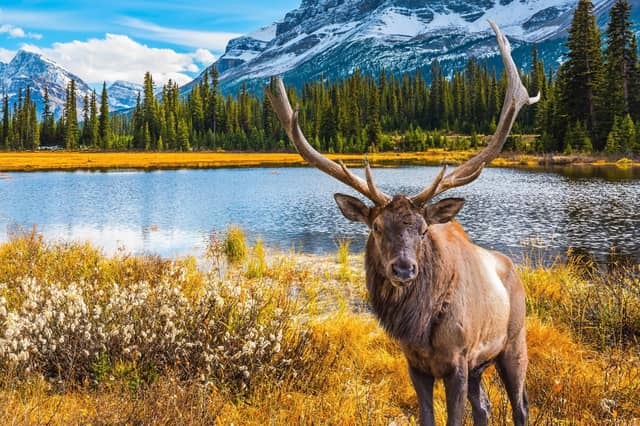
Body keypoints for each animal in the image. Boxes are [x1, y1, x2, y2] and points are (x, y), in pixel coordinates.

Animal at [266, 21, 539, 426]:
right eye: (377, 228)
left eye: (424, 230)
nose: (404, 268)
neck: (421, 329)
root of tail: (513, 269)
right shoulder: (416, 364)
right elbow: (428, 417)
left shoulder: (458, 361)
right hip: (481, 366)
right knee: (485, 408)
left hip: (513, 342)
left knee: (521, 405)